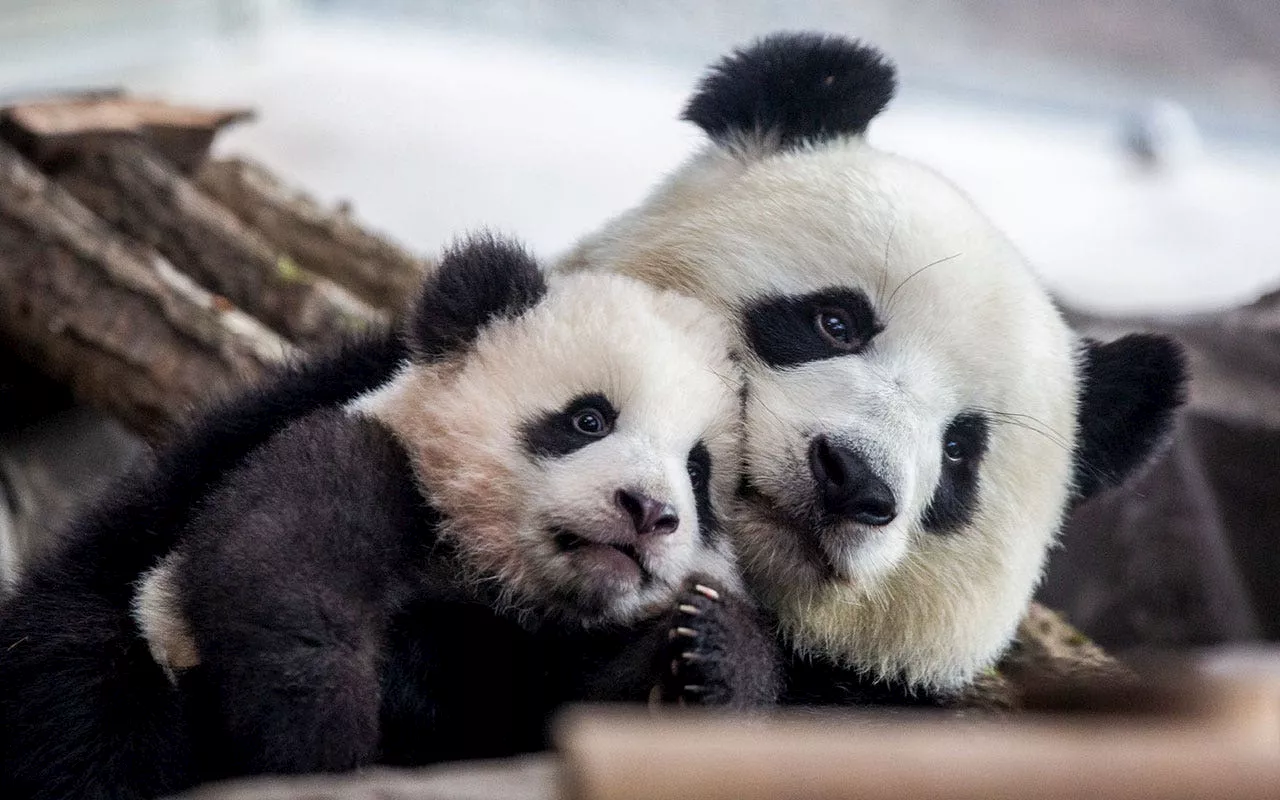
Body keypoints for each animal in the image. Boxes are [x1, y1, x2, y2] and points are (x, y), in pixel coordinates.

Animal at [0, 234, 768, 793]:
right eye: (589, 419)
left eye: (698, 472)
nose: (649, 511)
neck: (494, 579)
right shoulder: (370, 462)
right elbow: (282, 553)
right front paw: (320, 732)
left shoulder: (543, 662)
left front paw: (705, 655)